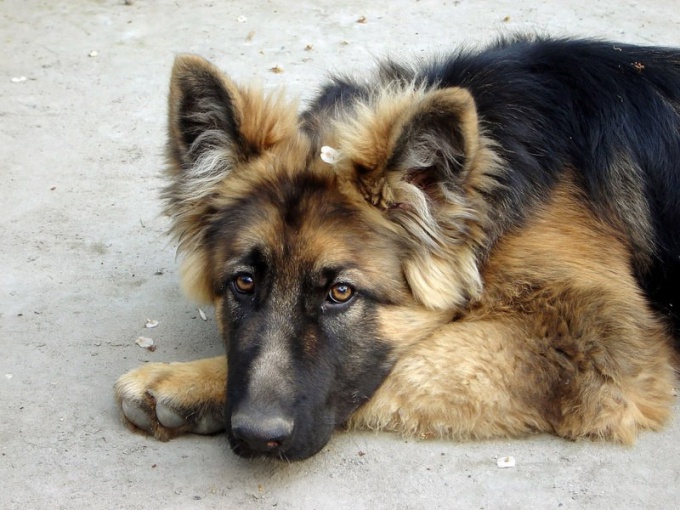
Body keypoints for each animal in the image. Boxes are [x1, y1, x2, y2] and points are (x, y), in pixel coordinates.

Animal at [115, 34, 680, 458]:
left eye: (341, 293)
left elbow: (408, 360)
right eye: (244, 282)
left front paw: (188, 381)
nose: (255, 437)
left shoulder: (596, 342)